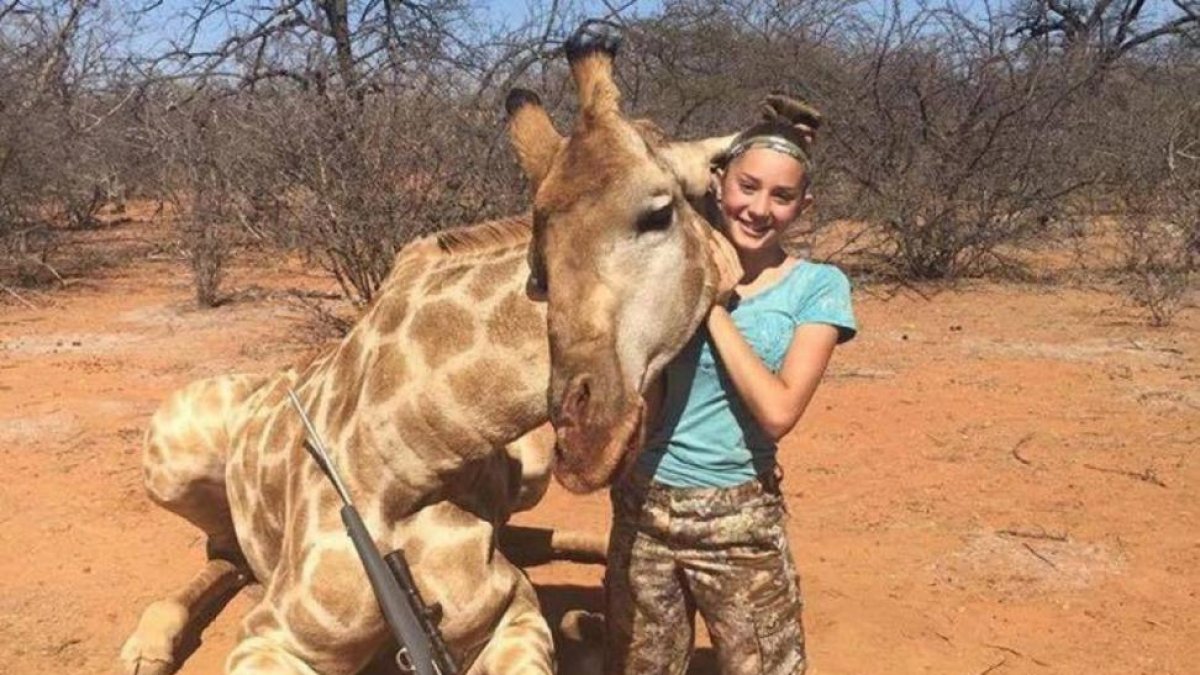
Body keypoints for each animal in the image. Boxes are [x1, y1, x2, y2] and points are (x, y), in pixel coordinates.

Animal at [119, 22, 740, 675]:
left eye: (660, 212)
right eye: (540, 261)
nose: (585, 434)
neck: (410, 459)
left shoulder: (512, 613)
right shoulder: (272, 635)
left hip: (533, 470)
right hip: (168, 457)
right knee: (222, 553)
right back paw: (148, 646)